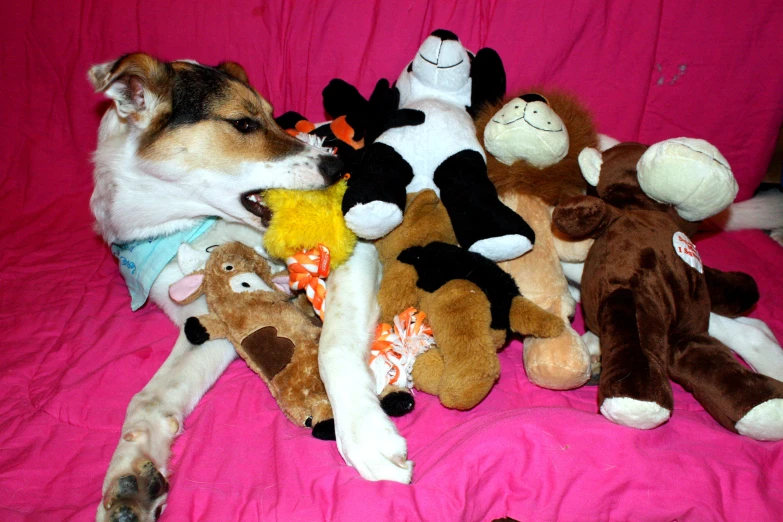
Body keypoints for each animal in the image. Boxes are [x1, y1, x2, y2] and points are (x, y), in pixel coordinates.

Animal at [89, 53, 414, 520]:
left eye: (274, 117)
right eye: (243, 124)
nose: (339, 169)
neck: (186, 228)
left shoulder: (354, 254)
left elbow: (332, 347)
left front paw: (364, 433)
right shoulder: (205, 319)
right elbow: (149, 399)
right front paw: (130, 479)